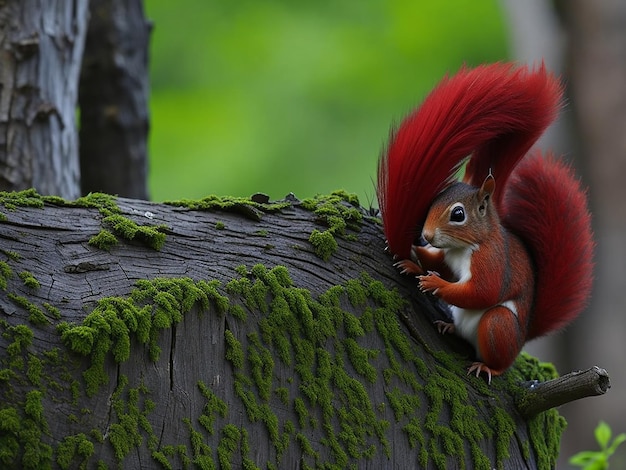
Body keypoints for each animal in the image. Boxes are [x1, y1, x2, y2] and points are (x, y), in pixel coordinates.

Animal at [372, 62, 592, 382]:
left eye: (458, 214)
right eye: (433, 201)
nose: (426, 234)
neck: (464, 247)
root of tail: (522, 337)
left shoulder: (491, 260)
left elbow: (482, 291)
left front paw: (433, 281)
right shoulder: (448, 258)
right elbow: (441, 265)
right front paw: (414, 260)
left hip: (499, 326)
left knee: (497, 349)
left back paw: (488, 366)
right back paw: (449, 326)